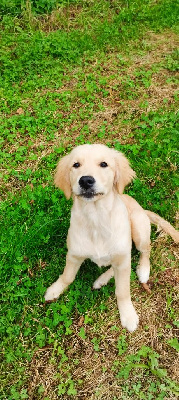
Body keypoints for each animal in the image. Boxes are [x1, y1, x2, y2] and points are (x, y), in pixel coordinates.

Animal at [44, 144, 178, 332]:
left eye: (104, 164)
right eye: (76, 165)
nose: (85, 181)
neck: (96, 219)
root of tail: (143, 210)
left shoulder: (122, 260)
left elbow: (122, 291)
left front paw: (128, 315)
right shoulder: (74, 254)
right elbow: (67, 276)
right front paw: (55, 290)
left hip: (138, 229)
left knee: (144, 251)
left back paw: (143, 270)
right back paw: (101, 280)